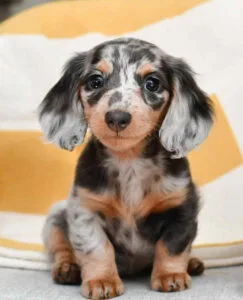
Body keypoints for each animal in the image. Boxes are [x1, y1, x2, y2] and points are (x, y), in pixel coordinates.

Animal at [38, 38, 213, 300]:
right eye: (95, 81)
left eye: (152, 83)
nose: (117, 117)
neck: (129, 161)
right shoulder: (85, 210)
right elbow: (97, 248)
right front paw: (102, 280)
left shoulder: (181, 209)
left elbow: (171, 247)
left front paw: (170, 276)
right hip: (55, 219)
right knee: (61, 248)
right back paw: (67, 269)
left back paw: (192, 263)